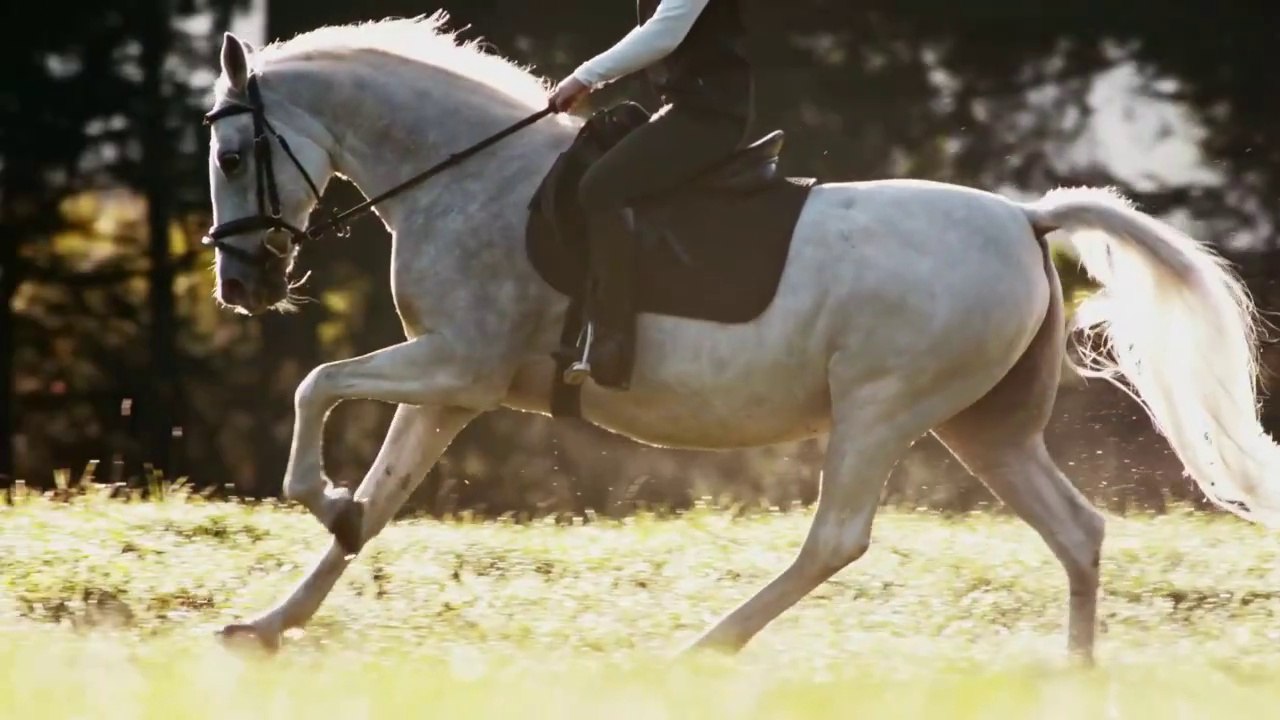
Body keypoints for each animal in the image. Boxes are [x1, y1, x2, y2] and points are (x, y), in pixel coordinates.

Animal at [203, 13, 1280, 661]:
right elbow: (379, 502)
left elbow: (315, 384)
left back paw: (701, 650)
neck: (469, 179)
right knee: (1077, 532)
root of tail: (1024, 217)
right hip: (984, 427)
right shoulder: (453, 389)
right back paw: (1074, 676)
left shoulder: (455, 367)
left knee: (836, 539)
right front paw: (268, 621)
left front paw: (322, 502)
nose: (241, 286)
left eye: (230, 153)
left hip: (881, 410)